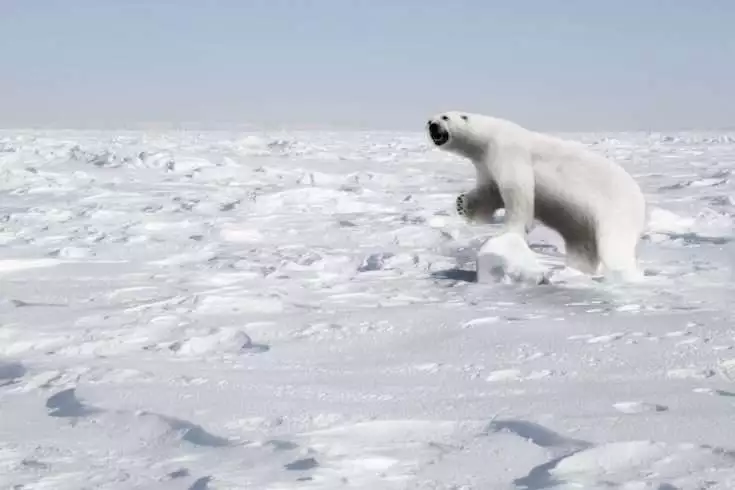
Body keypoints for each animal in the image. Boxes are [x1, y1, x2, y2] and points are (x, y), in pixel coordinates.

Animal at [426, 110, 647, 282]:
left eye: (444, 117)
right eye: (430, 119)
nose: (432, 125)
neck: (489, 136)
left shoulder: (508, 151)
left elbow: (518, 191)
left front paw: (511, 231)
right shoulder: (486, 165)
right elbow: (489, 192)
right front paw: (462, 204)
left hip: (616, 208)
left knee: (615, 245)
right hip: (585, 224)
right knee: (583, 247)